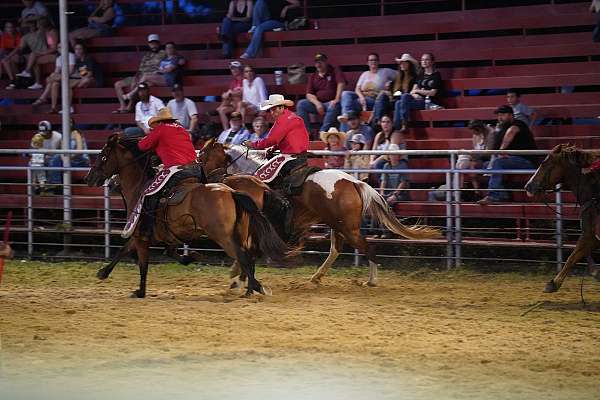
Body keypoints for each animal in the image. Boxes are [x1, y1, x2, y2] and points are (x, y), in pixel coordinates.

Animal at [85, 134, 290, 296]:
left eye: (103, 156)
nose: (89, 178)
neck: (140, 188)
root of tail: (233, 192)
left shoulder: (140, 234)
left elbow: (141, 263)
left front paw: (140, 291)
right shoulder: (159, 236)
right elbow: (128, 250)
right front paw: (103, 272)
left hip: (224, 237)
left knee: (244, 256)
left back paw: (252, 287)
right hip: (240, 232)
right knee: (248, 255)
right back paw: (248, 287)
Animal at [197, 141, 440, 288]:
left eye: (204, 155)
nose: (205, 179)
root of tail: (355, 183)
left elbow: (247, 248)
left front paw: (236, 276)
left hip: (347, 228)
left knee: (367, 247)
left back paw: (371, 280)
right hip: (337, 225)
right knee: (336, 250)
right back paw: (317, 276)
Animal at [524, 144, 600, 290]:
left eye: (544, 163)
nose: (528, 186)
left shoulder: (588, 235)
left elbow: (572, 257)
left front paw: (553, 284)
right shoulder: (591, 236)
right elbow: (578, 255)